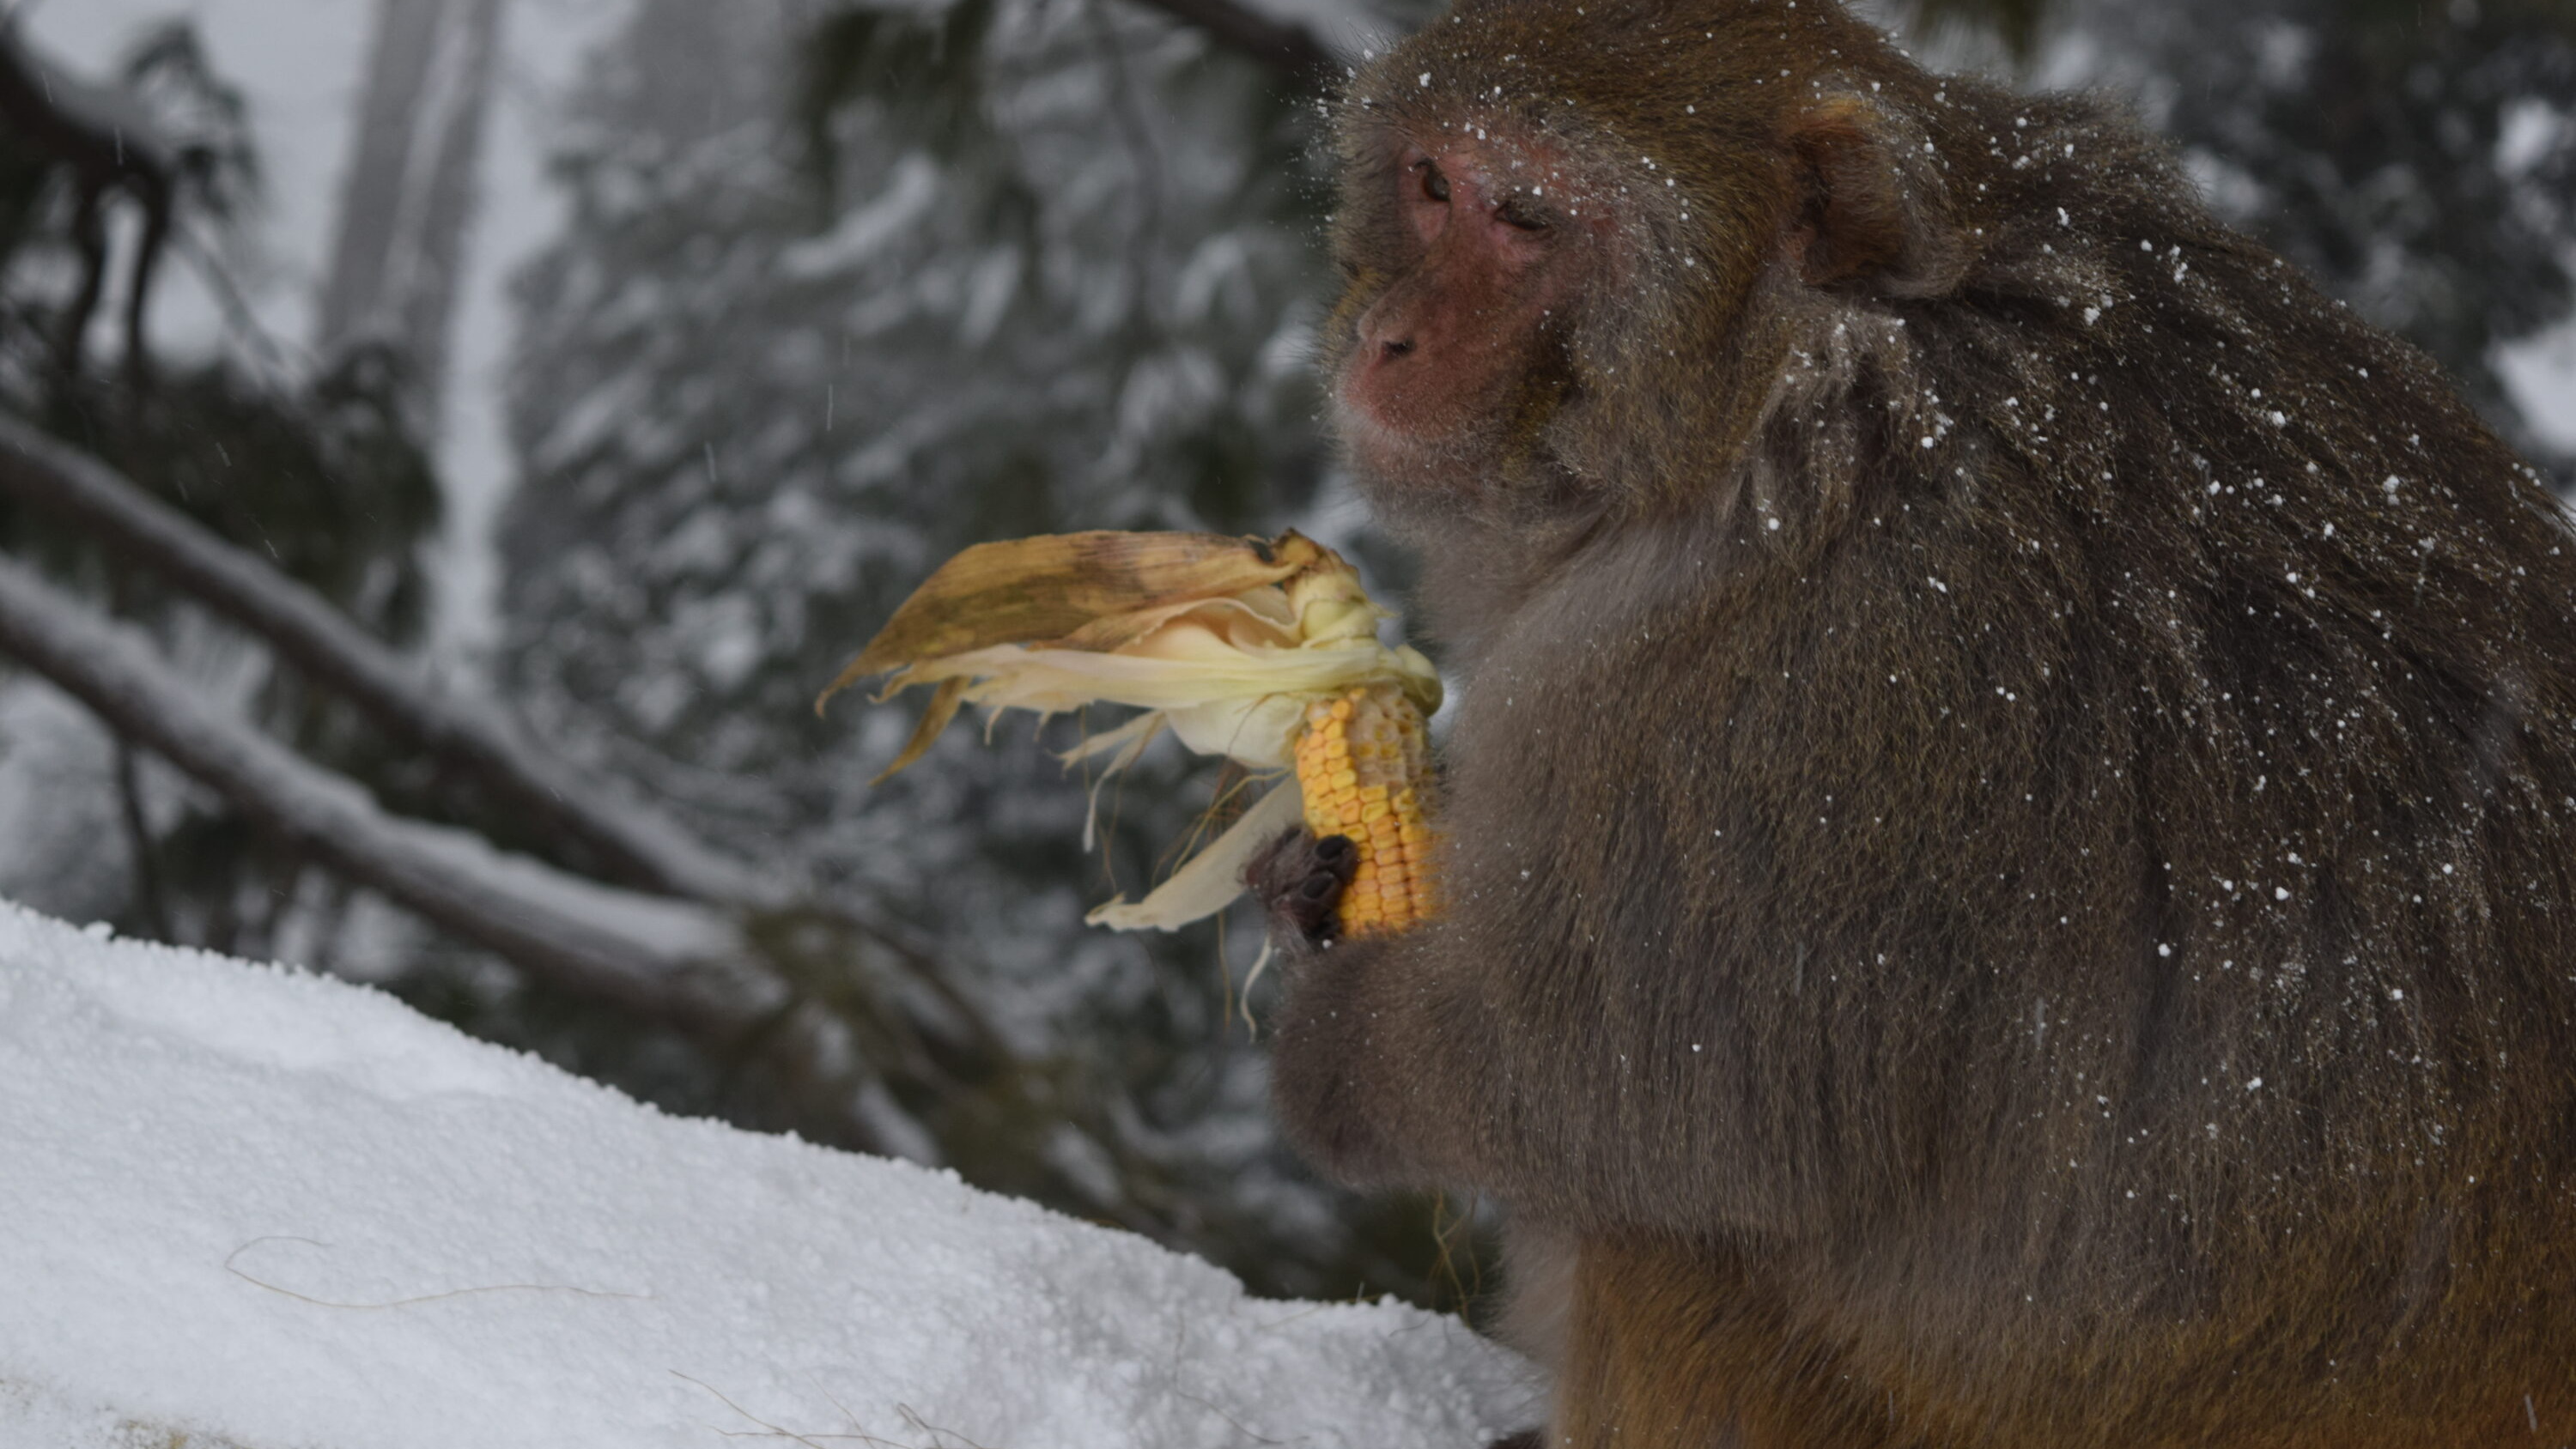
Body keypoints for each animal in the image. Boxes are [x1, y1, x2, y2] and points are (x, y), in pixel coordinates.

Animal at [1245, 0, 2576, 1444]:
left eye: (1527, 216)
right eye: (1433, 186)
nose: (1387, 337)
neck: (1793, 379)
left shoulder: (1799, 672)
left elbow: (1660, 1095)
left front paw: (1340, 1050)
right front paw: (1299, 881)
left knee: (1666, 1231)